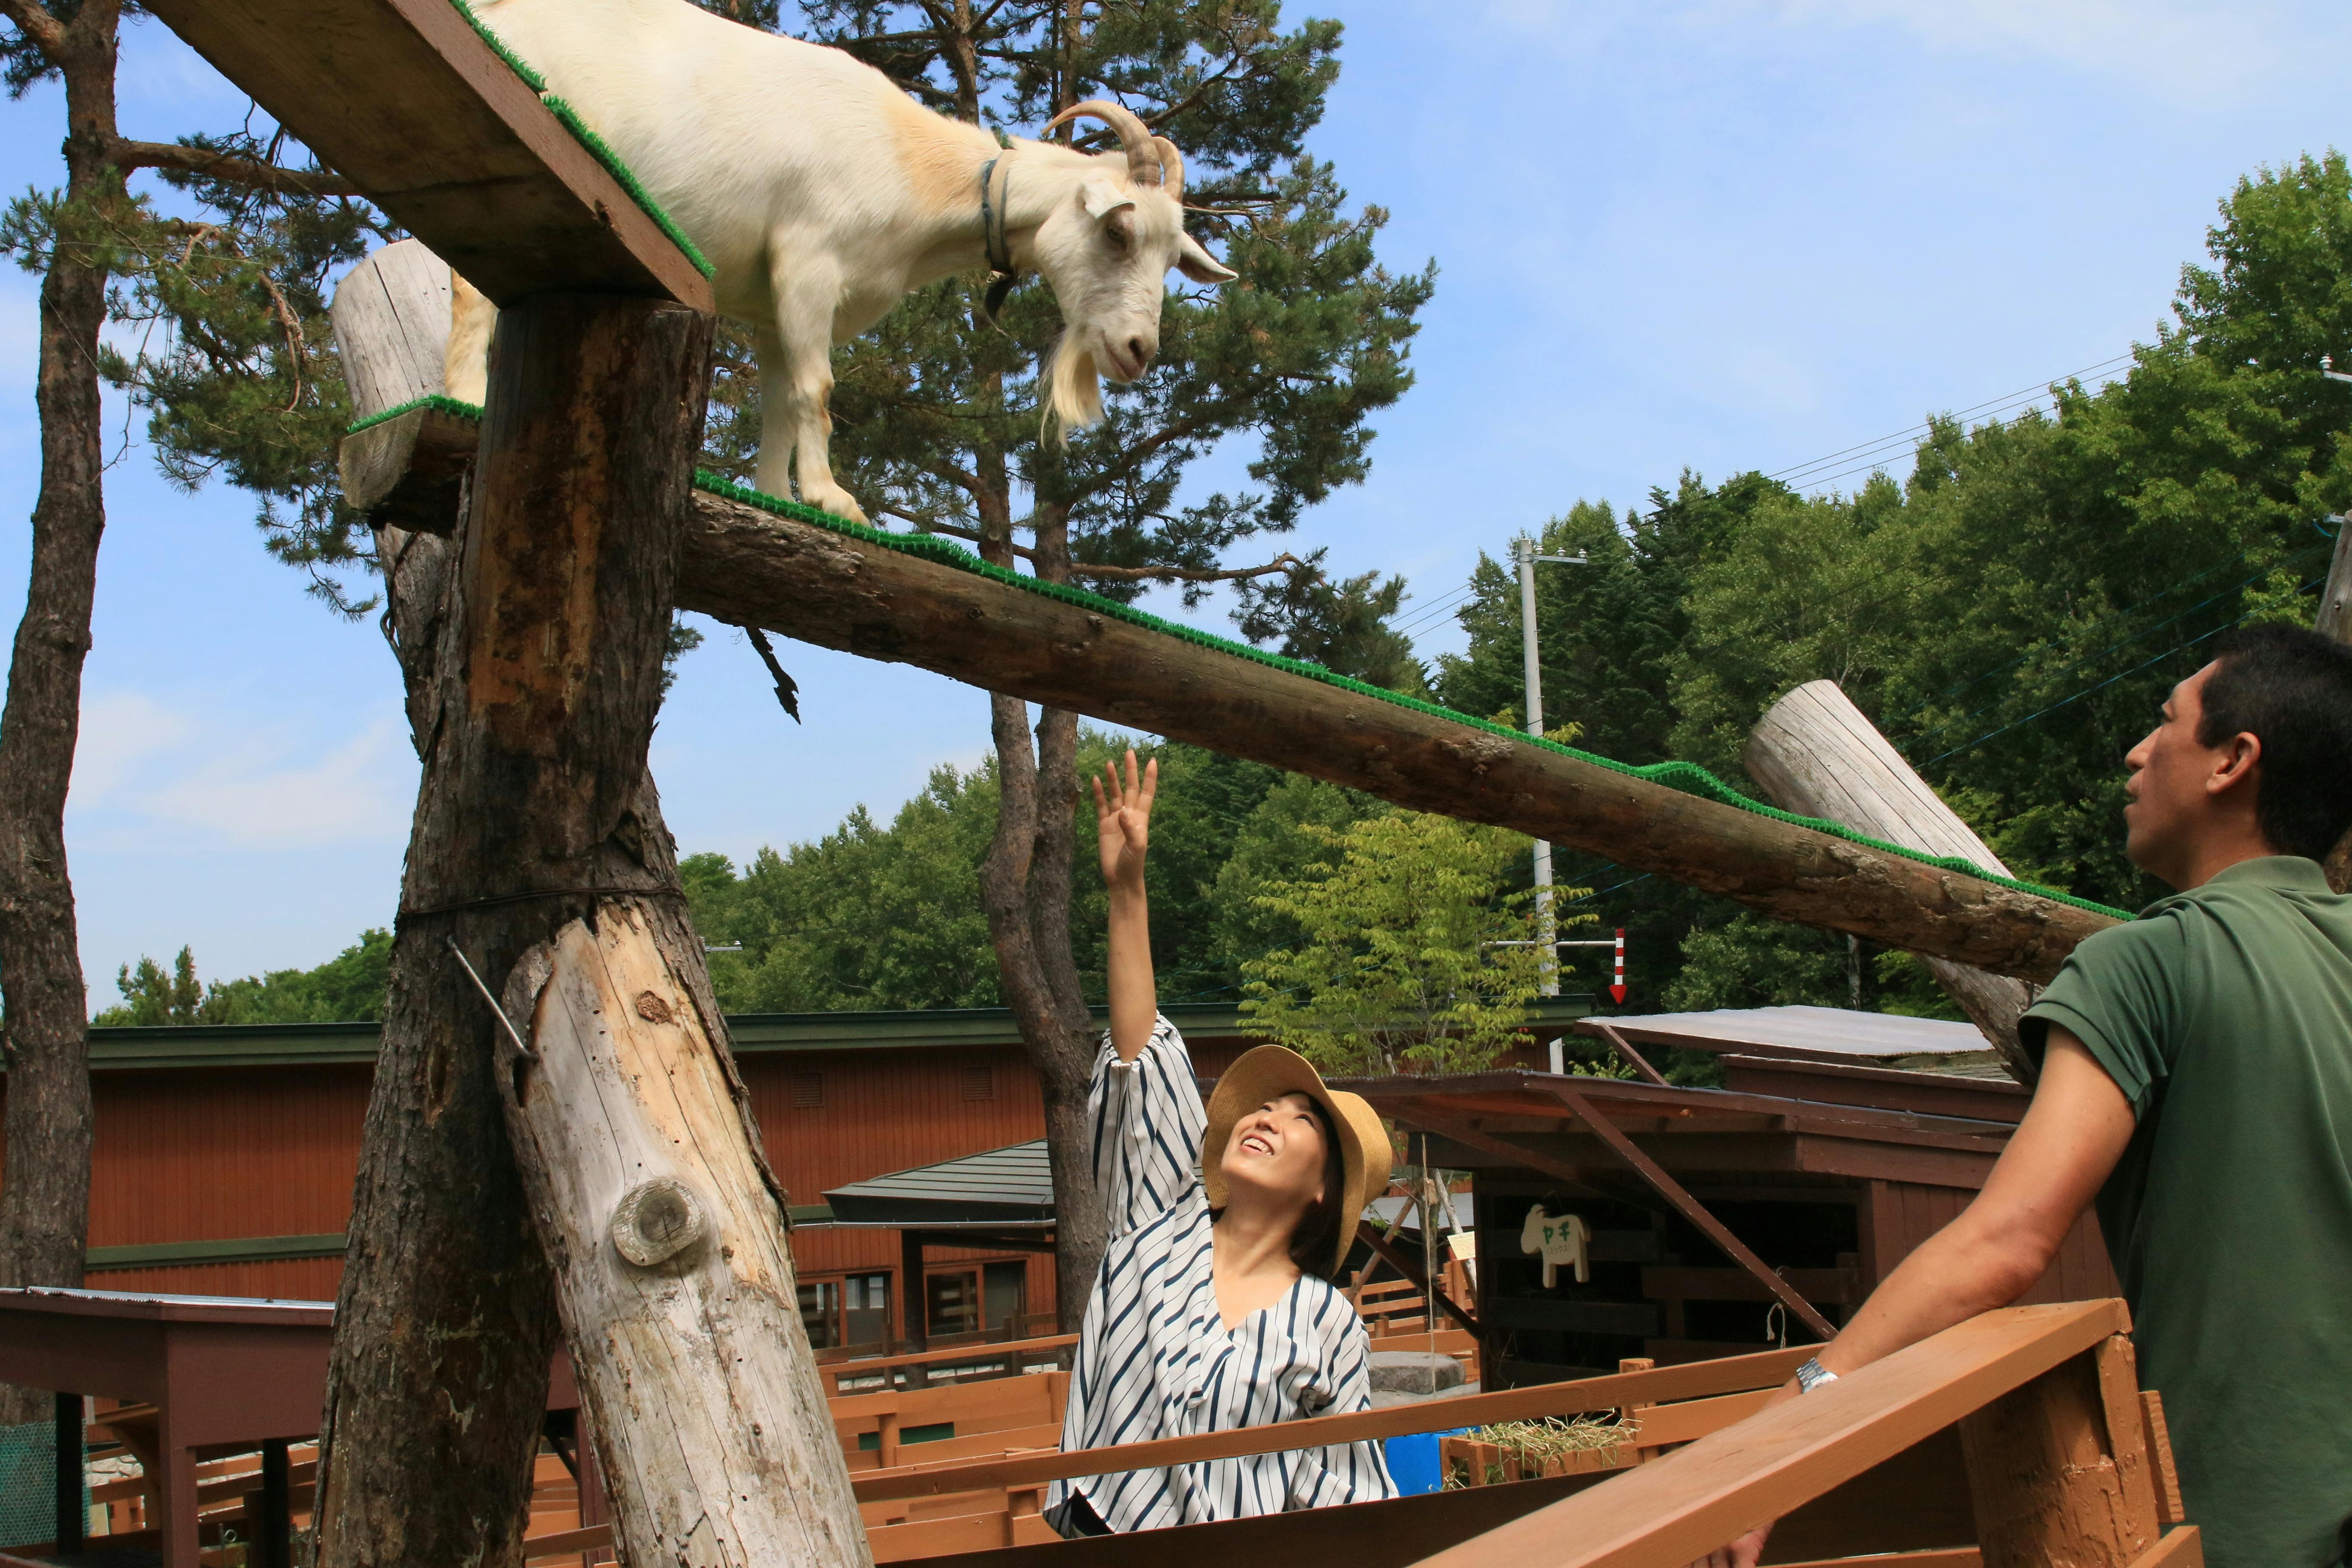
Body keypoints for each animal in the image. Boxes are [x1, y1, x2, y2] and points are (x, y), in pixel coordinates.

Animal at [447, 0, 1242, 531]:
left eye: (1175, 256)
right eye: (1118, 232)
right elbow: (817, 389)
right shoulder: (808, 261)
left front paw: (774, 495)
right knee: (470, 293)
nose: (1138, 350)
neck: (910, 165)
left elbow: (777, 398)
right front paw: (835, 500)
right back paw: (464, 401)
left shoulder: (773, 302)